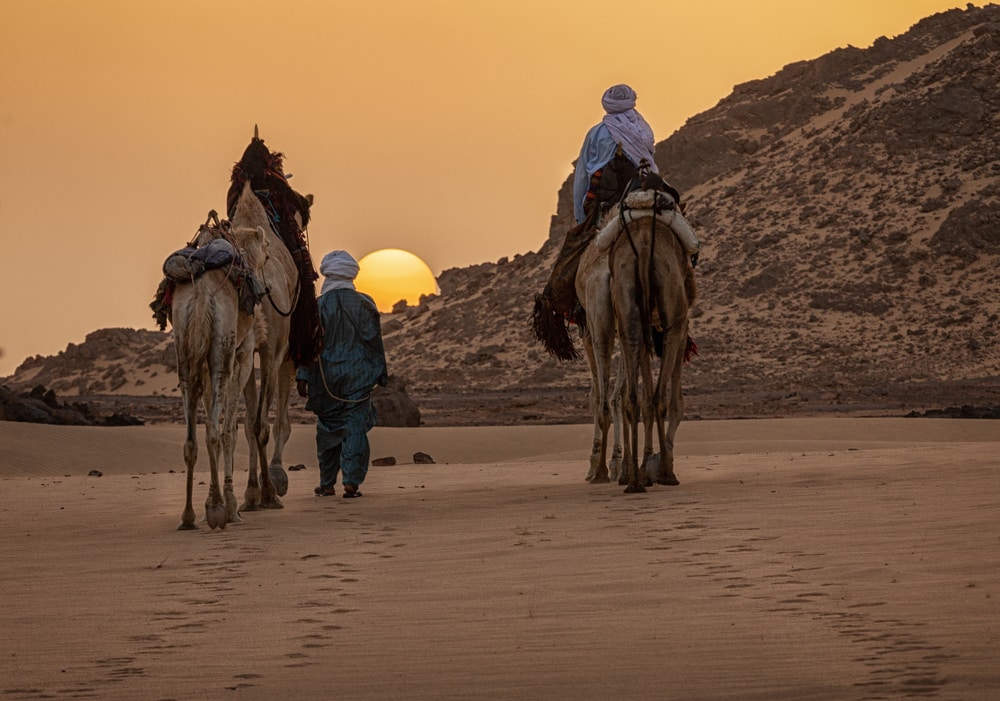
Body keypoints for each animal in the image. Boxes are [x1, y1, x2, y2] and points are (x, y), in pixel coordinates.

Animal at [171, 216, 270, 528]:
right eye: (266, 248)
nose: (269, 253)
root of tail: (202, 294)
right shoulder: (242, 355)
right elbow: (231, 431)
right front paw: (231, 506)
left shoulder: (203, 364)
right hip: (221, 349)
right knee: (214, 429)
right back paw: (217, 509)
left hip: (184, 347)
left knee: (192, 436)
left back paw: (189, 516)